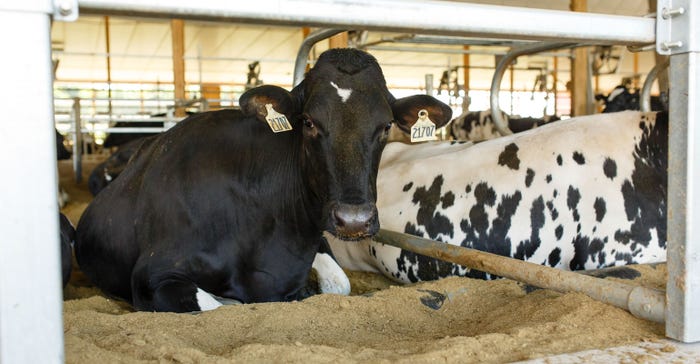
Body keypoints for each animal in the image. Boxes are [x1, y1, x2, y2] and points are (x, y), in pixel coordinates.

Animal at [74, 47, 452, 312]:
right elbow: (217, 306)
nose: (354, 220)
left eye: (386, 126)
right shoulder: (152, 276)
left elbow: (337, 283)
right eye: (309, 122)